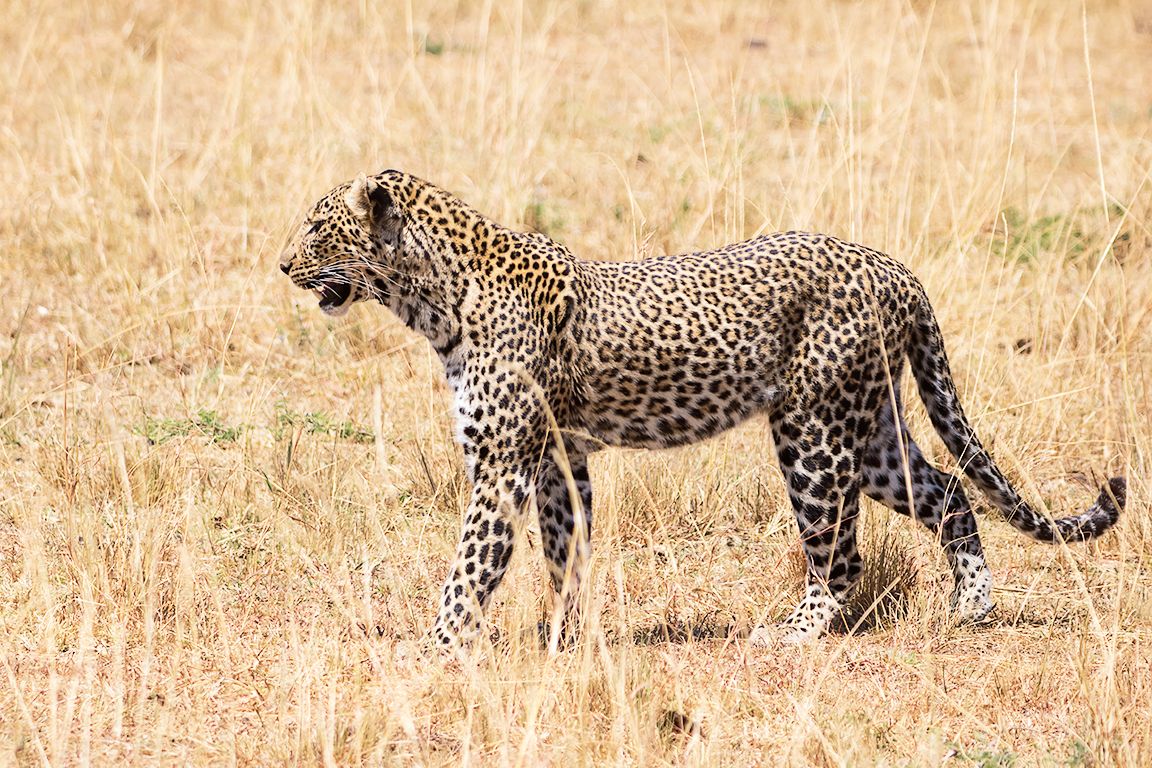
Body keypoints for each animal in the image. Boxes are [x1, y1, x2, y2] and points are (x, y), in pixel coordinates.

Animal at [279, 169, 1127, 651]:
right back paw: (972, 609)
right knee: (948, 492)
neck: (430, 298)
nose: (283, 263)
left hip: (813, 433)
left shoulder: (502, 468)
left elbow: (470, 565)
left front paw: (435, 648)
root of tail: (895, 269)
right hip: (871, 428)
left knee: (840, 551)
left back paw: (792, 634)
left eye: (319, 225)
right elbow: (564, 555)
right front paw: (560, 638)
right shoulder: (559, 461)